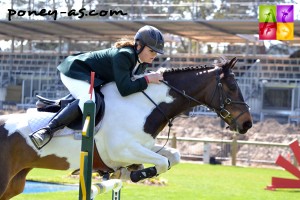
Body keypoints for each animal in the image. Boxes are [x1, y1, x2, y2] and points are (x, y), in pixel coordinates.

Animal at [0, 57, 252, 199]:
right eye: (231, 86)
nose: (247, 123)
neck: (143, 104)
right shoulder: (123, 149)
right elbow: (162, 162)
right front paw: (135, 173)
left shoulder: (143, 145)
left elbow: (173, 156)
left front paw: (127, 172)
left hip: (15, 182)